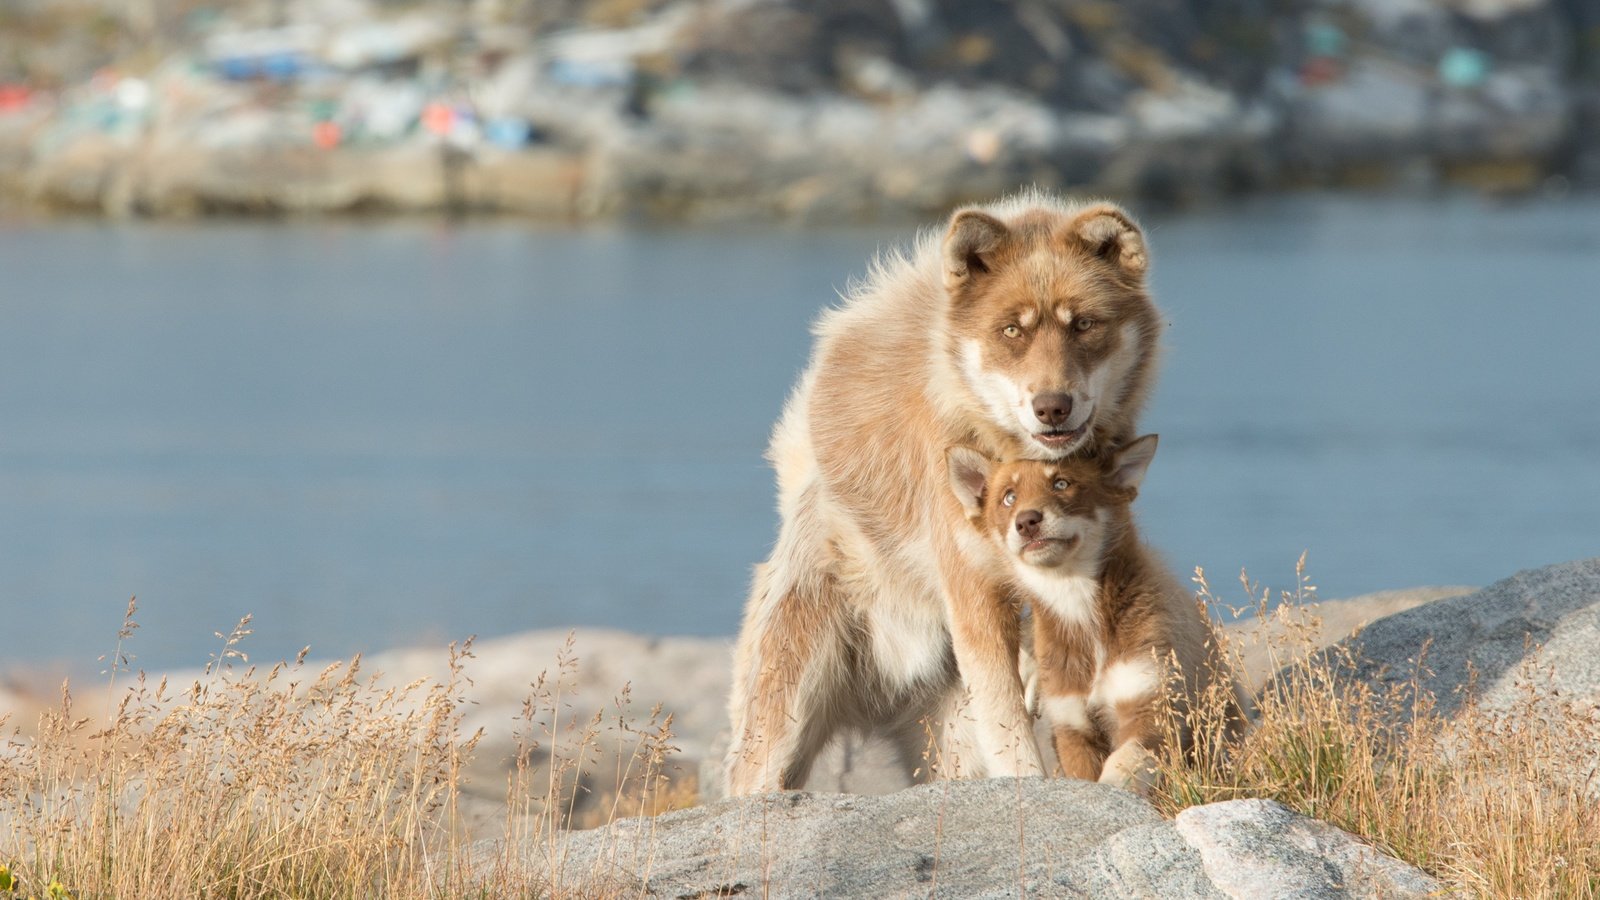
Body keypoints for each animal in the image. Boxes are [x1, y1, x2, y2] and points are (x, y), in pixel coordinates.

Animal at [726, 190, 1164, 791]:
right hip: (781, 728)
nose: (1052, 407)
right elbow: (1011, 736)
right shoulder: (972, 593)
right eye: (1012, 331)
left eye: (1083, 325)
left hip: (949, 747)